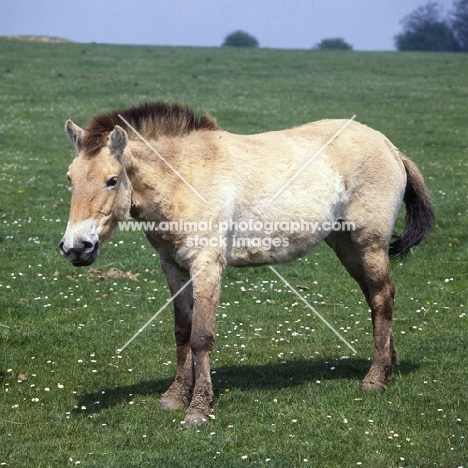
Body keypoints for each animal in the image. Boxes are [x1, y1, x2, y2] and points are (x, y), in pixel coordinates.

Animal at [59, 101, 436, 424]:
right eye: (70, 179)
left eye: (112, 180)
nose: (76, 247)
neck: (184, 177)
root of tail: (389, 146)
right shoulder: (172, 267)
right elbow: (182, 331)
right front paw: (176, 396)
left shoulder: (207, 266)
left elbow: (201, 336)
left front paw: (198, 409)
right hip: (347, 246)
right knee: (376, 298)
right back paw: (388, 364)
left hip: (369, 244)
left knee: (382, 298)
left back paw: (376, 378)